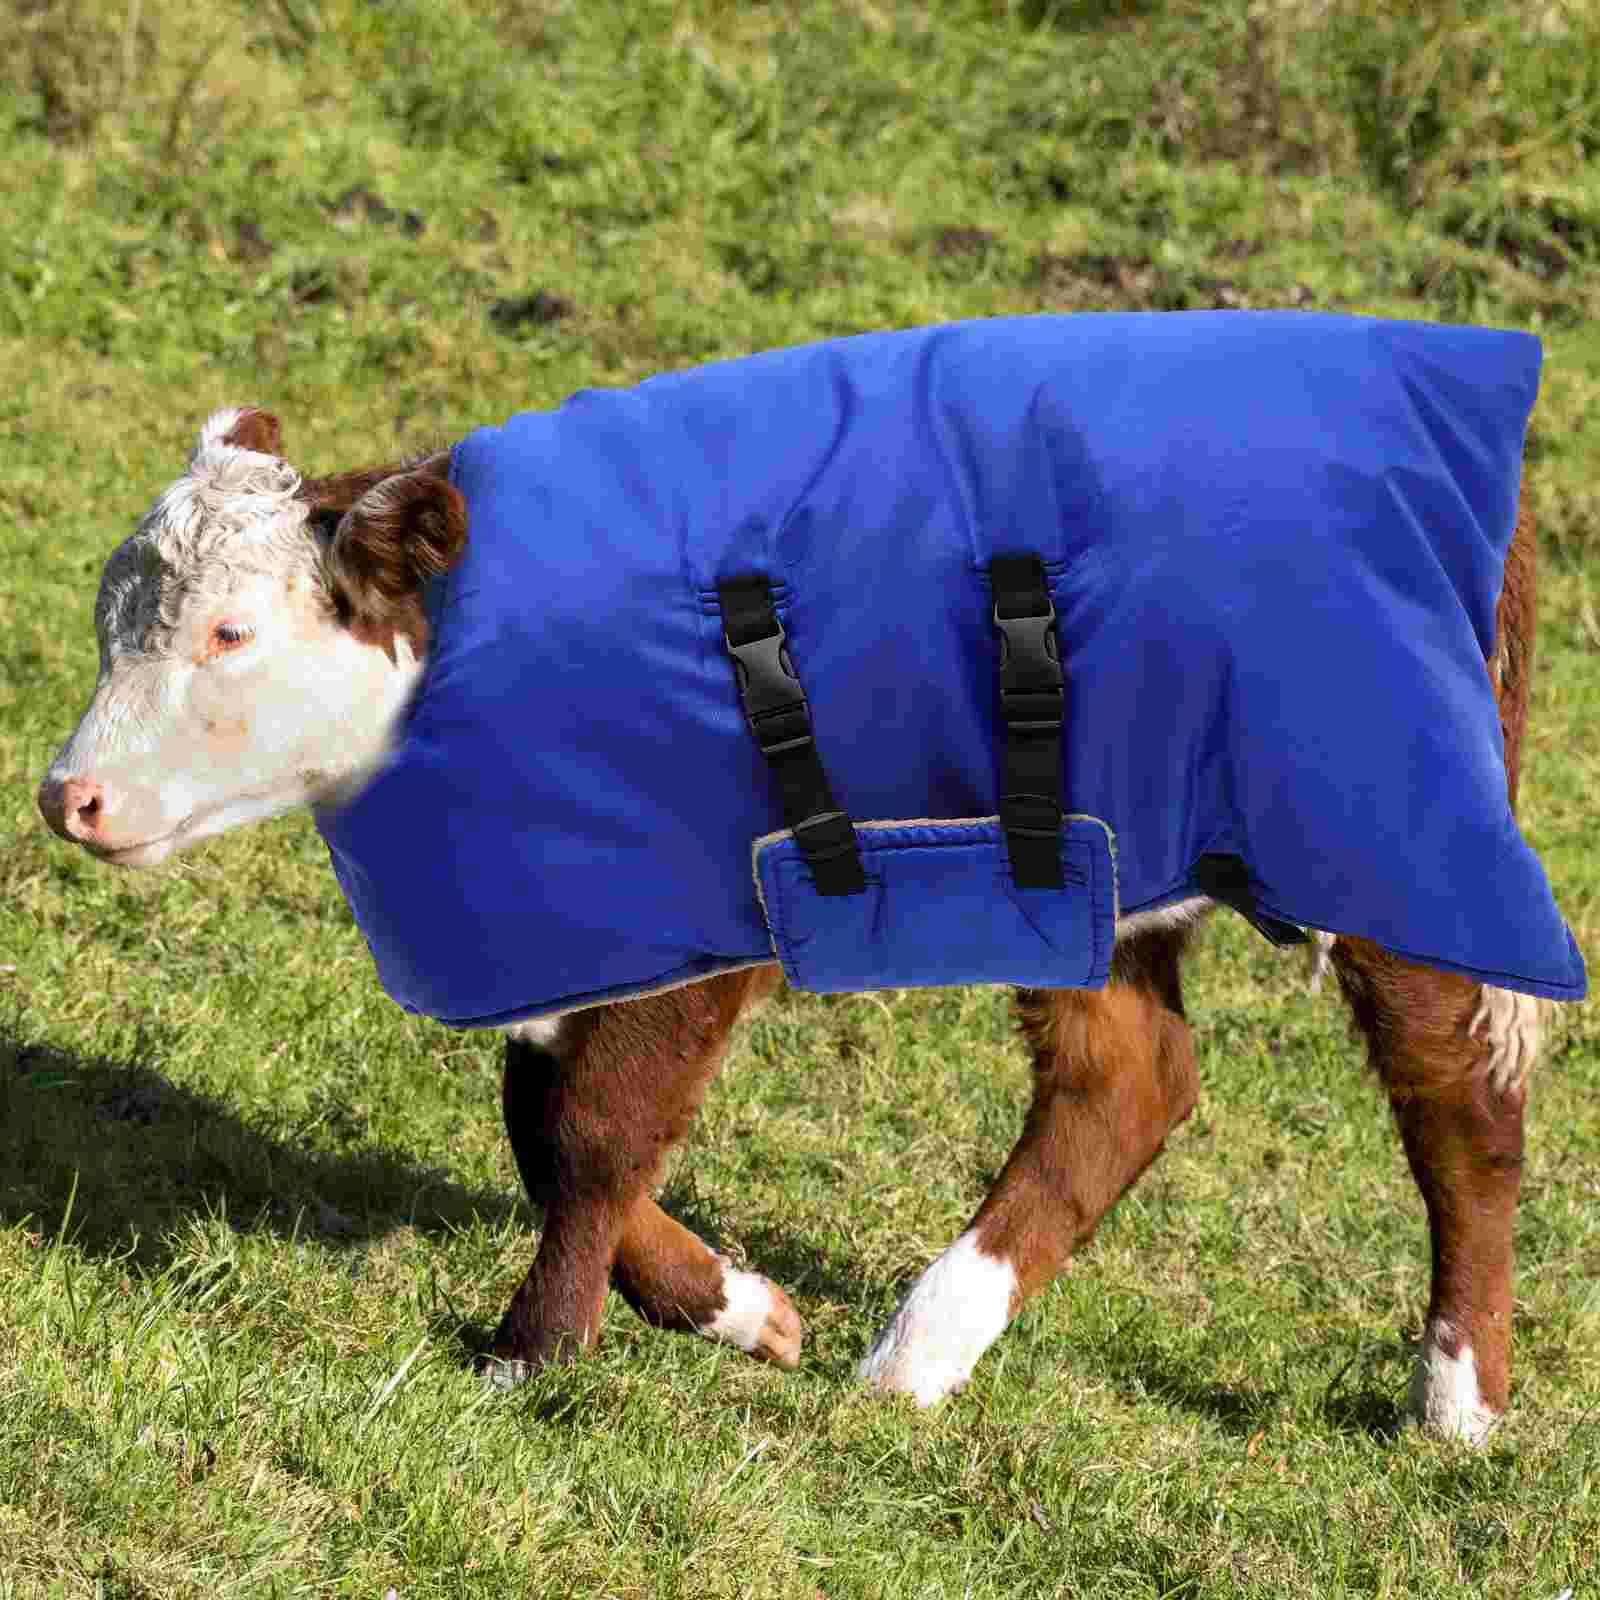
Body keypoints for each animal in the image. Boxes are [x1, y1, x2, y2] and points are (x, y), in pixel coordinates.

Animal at [37, 391, 1554, 1447]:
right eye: (112, 616)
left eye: (231, 633)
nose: (69, 795)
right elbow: (539, 1120)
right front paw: (738, 1308)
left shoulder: (700, 909)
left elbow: (590, 1131)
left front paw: (535, 1347)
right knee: (1127, 1080)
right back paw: (916, 1356)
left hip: (1390, 832)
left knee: (1458, 1097)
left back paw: (1457, 1401)